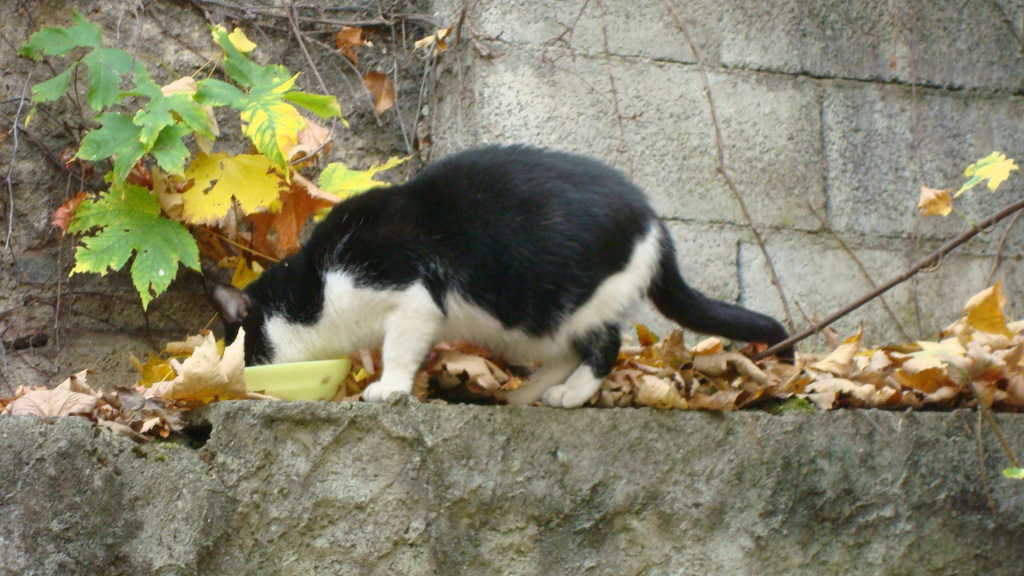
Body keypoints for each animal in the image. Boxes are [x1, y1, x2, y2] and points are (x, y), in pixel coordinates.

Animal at [211, 147, 790, 407]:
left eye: (231, 348)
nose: (227, 380)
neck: (316, 289)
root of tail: (655, 223)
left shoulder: (413, 295)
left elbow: (400, 346)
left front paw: (389, 387)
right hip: (540, 320)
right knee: (568, 350)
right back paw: (524, 393)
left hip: (575, 299)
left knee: (606, 345)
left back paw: (570, 394)